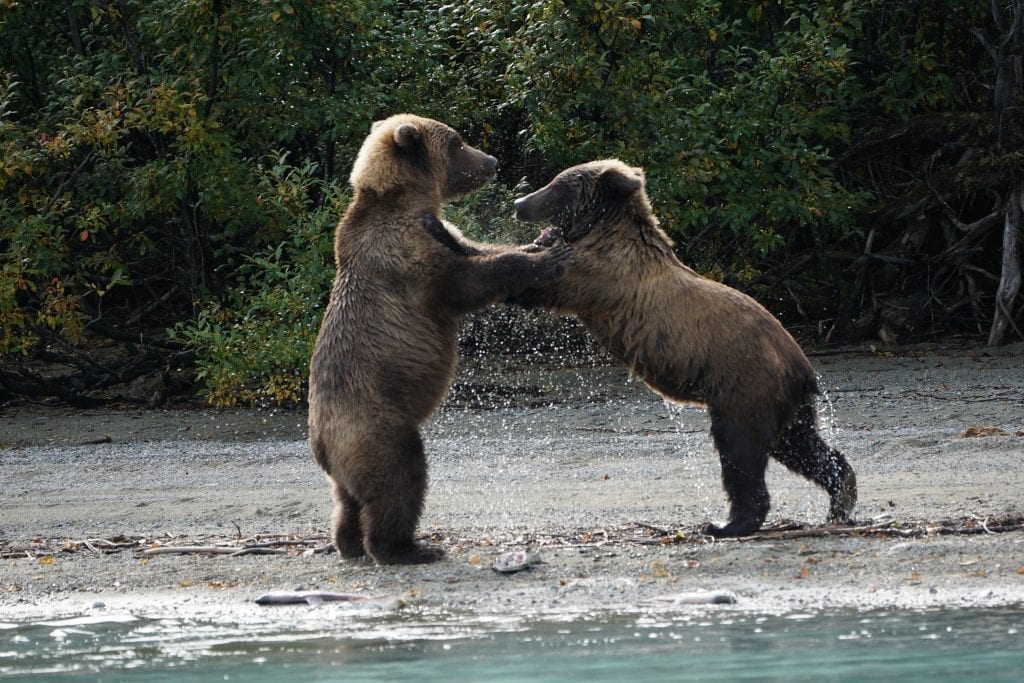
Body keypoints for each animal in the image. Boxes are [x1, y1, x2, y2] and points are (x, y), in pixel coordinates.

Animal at [309, 114, 569, 565]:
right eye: (458, 143)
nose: (492, 160)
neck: (407, 199)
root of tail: (321, 444)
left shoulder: (441, 231)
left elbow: (475, 249)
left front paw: (541, 240)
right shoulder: (401, 251)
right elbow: (464, 281)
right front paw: (542, 259)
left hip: (348, 452)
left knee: (346, 499)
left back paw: (349, 543)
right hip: (375, 422)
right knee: (400, 478)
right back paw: (405, 547)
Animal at [509, 160, 856, 540]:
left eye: (556, 186)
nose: (519, 202)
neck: (601, 232)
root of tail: (801, 365)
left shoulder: (597, 275)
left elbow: (542, 277)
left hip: (745, 383)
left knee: (740, 449)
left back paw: (727, 523)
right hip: (787, 404)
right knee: (801, 447)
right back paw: (841, 498)